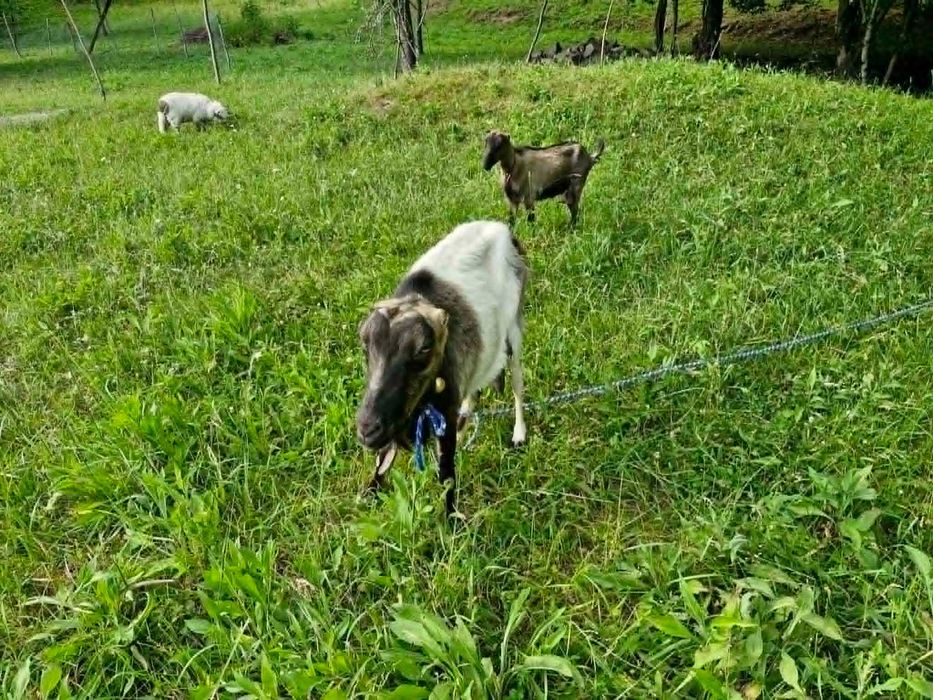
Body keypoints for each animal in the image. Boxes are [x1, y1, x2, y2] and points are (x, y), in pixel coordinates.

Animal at [356, 220, 529, 516]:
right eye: (365, 345)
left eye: (423, 349)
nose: (368, 429)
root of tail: (503, 229)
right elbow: (383, 459)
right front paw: (370, 491)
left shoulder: (443, 406)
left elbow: (446, 474)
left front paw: (453, 519)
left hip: (514, 330)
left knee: (517, 382)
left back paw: (519, 434)